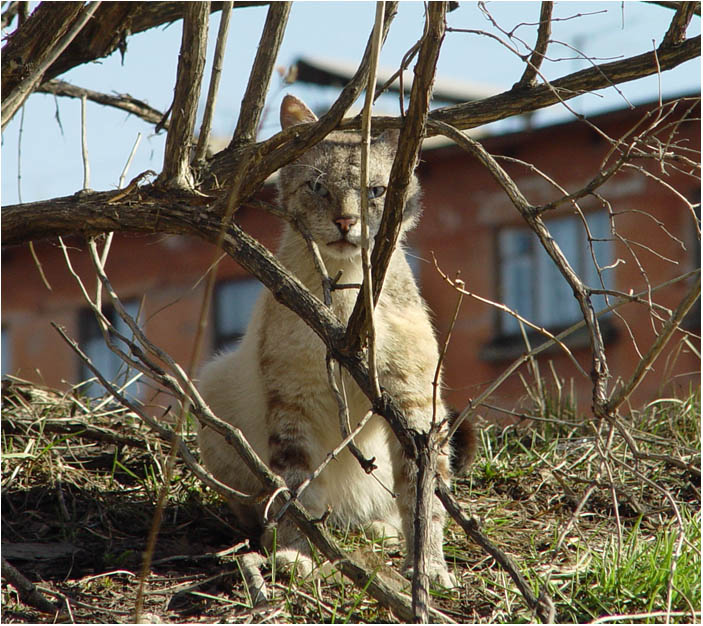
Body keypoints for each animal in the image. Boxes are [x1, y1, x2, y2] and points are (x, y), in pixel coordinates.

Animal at [197, 94, 478, 584]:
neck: (347, 300)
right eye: (317, 187)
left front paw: (427, 569)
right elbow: (297, 494)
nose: (346, 221)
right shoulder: (292, 403)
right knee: (262, 508)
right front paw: (299, 554)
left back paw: (379, 530)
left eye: (376, 192)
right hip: (214, 392)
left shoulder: (412, 406)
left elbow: (422, 499)